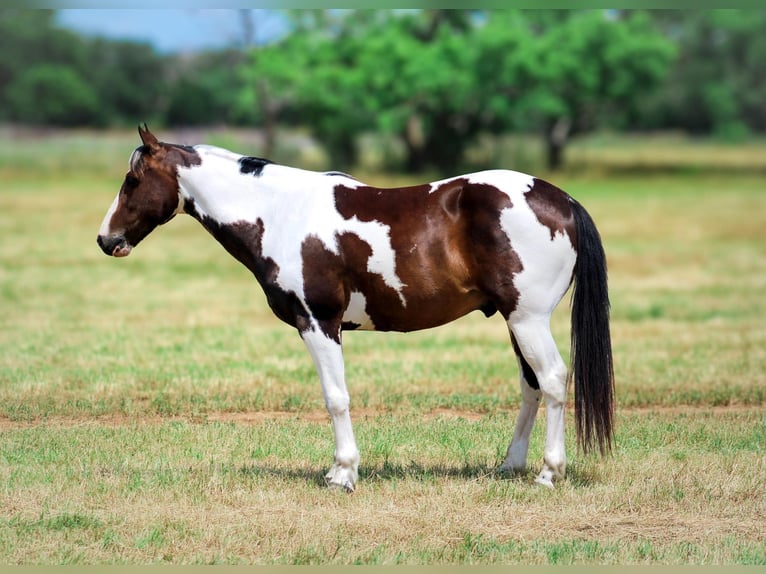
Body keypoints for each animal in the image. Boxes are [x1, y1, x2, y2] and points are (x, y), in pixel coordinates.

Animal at [97, 125, 614, 492]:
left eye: (133, 180)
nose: (106, 239)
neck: (280, 212)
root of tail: (563, 200)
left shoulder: (318, 322)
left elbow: (336, 398)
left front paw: (342, 473)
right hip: (515, 321)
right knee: (531, 386)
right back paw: (510, 465)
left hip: (528, 321)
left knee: (552, 380)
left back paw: (548, 473)